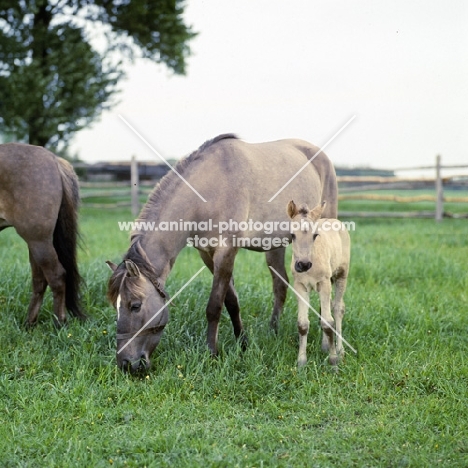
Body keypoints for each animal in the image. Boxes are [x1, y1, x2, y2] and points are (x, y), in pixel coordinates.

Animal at [0, 143, 85, 326]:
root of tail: (53, 159)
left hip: (38, 241)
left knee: (56, 277)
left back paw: (59, 323)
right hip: (36, 243)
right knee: (40, 281)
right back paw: (29, 324)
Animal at [106, 134, 336, 372]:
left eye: (135, 305)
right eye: (115, 306)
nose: (126, 363)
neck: (206, 192)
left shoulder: (226, 251)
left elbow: (214, 306)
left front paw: (211, 353)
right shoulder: (207, 254)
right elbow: (231, 301)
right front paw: (242, 342)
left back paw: (326, 341)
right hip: (276, 245)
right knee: (280, 286)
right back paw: (273, 331)